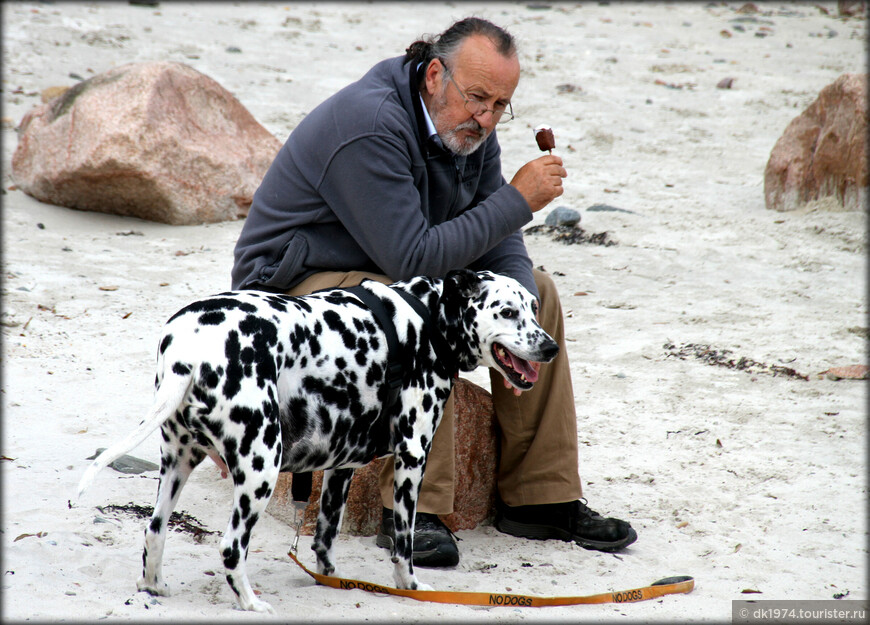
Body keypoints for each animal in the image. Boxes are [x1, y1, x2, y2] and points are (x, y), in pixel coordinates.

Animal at [78, 266, 564, 608]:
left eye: (533, 309)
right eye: (507, 311)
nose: (550, 347)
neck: (427, 318)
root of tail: (188, 346)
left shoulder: (340, 470)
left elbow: (326, 539)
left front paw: (332, 580)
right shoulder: (412, 459)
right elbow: (404, 545)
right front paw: (408, 586)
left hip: (178, 466)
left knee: (154, 531)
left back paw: (155, 587)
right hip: (260, 471)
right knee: (231, 548)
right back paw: (250, 604)